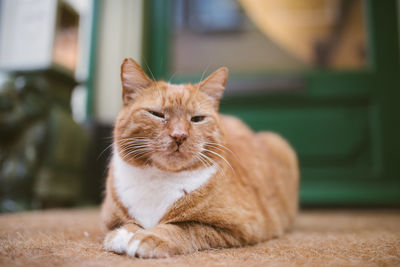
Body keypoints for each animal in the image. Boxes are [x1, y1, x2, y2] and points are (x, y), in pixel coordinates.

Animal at [101, 58, 298, 260]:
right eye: (157, 114)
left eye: (197, 119)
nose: (179, 135)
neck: (160, 179)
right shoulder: (110, 218)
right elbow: (128, 223)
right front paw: (124, 234)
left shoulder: (242, 226)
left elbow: (184, 228)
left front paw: (148, 237)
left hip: (279, 143)